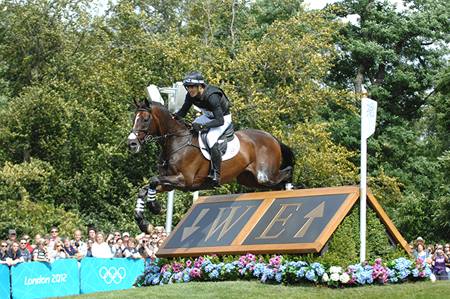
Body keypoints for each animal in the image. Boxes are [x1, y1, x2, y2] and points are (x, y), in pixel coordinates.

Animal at [126, 98, 296, 211]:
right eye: (134, 118)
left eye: (146, 119)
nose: (131, 143)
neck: (177, 142)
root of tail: (272, 138)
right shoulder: (169, 184)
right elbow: (146, 188)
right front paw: (142, 221)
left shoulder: (184, 180)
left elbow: (153, 180)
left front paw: (154, 206)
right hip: (249, 179)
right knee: (276, 182)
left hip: (264, 176)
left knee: (286, 172)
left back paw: (290, 189)